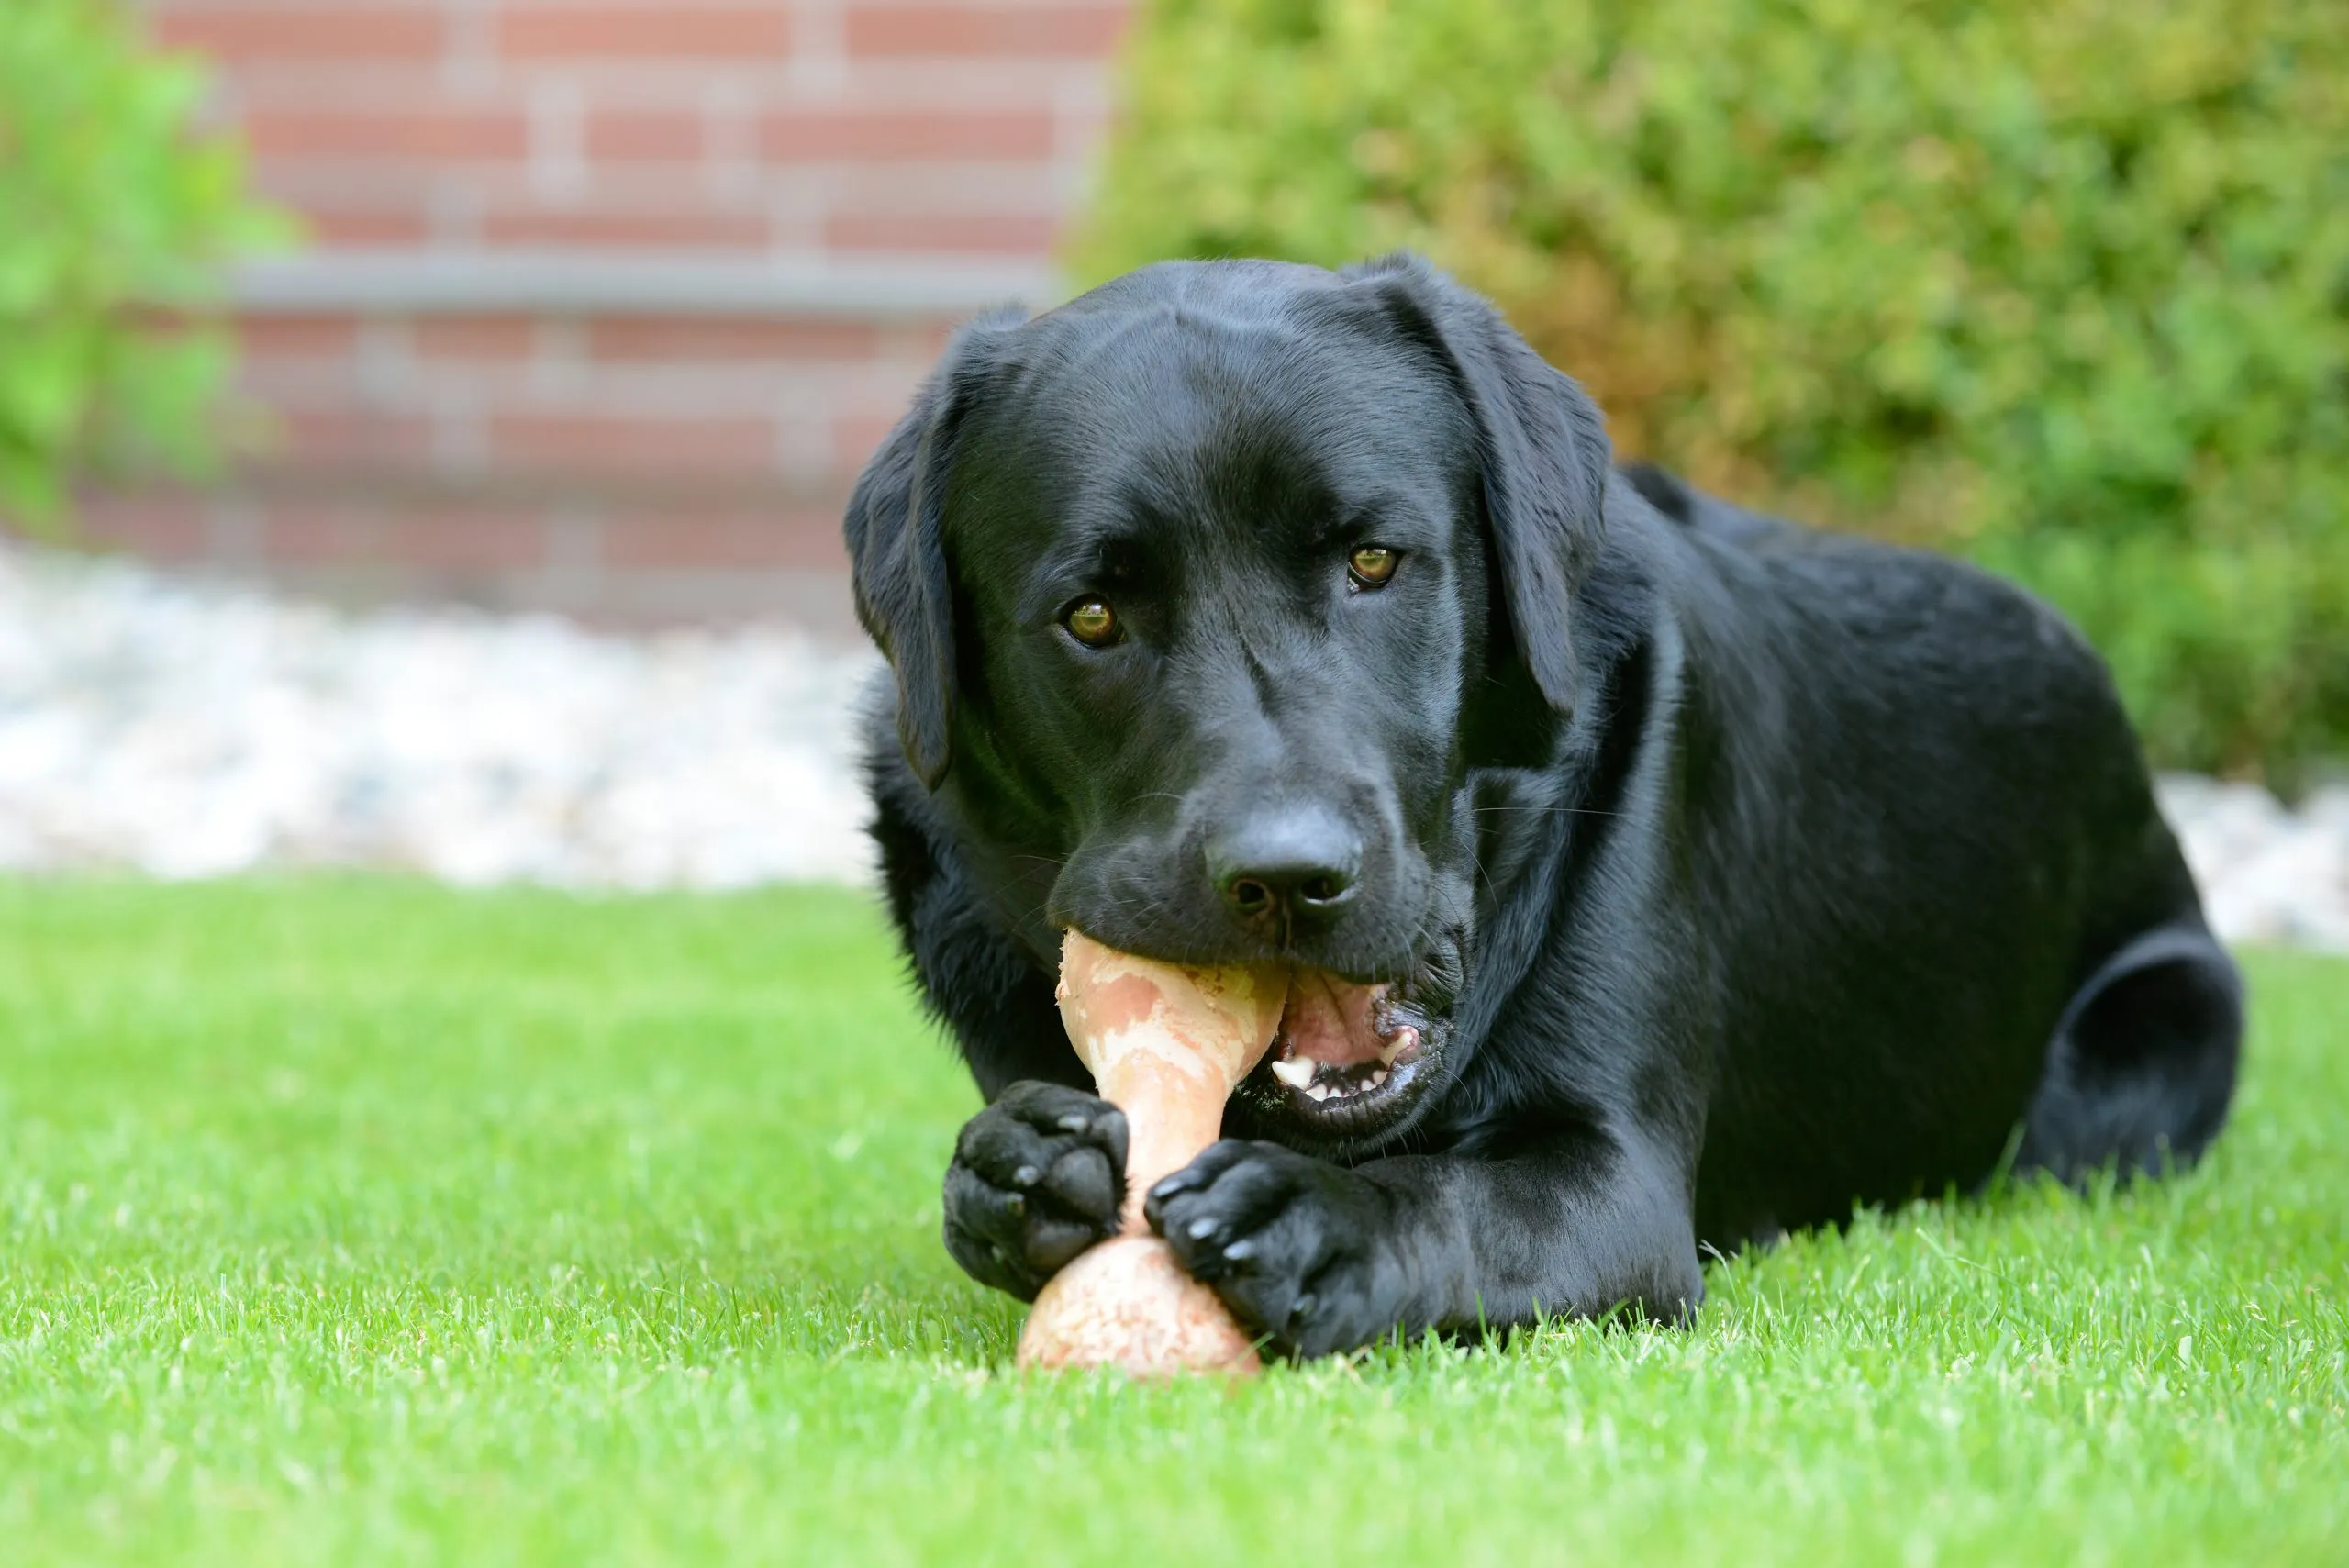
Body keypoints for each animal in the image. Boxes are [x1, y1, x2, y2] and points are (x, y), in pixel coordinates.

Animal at [845, 250, 2236, 1351]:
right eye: (1092, 615)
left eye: (1372, 560)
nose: (1287, 877)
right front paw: (1020, 1170)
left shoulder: (1615, 1181)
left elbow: (1451, 1195)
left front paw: (1311, 1221)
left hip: (2167, 1028)